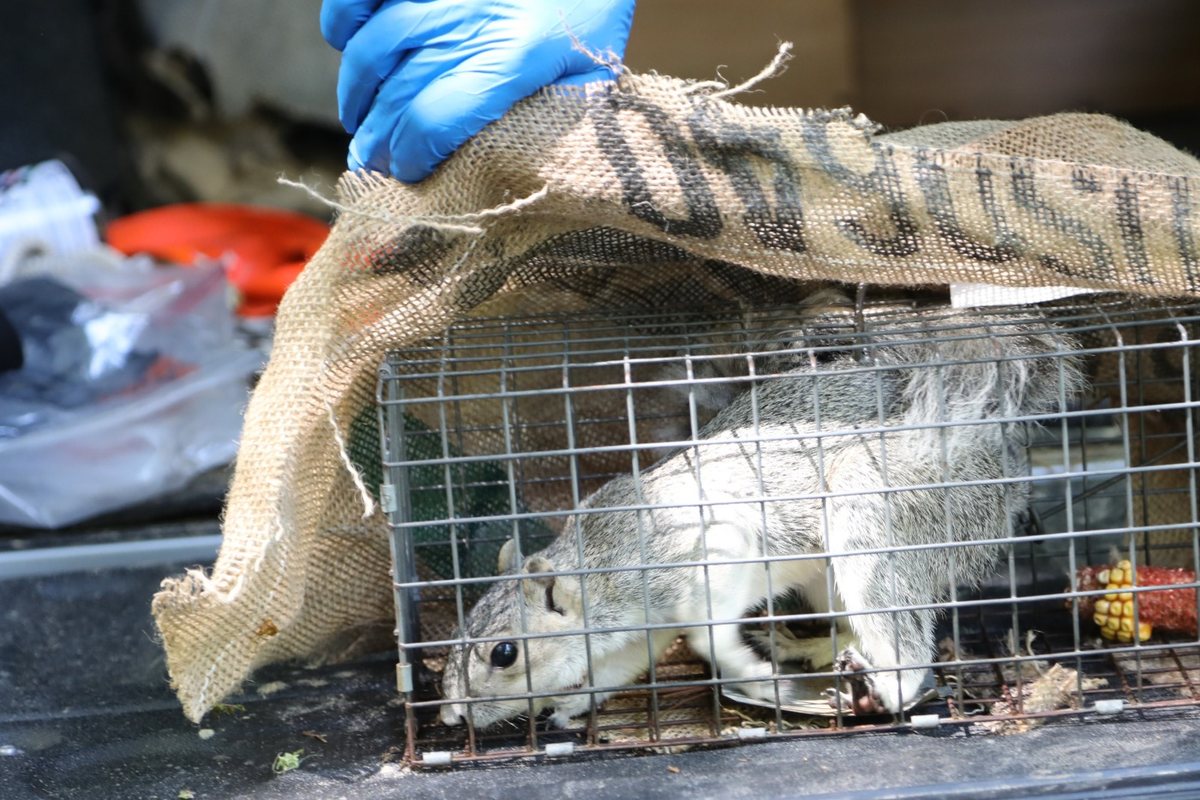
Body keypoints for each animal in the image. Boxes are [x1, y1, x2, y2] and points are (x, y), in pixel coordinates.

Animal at [438, 295, 1083, 728]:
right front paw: (574, 699)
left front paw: (747, 671)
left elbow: (706, 634)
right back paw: (811, 651)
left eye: (503, 653)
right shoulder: (641, 630)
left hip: (874, 513)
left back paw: (878, 688)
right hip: (834, 574)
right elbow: (623, 665)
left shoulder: (704, 552)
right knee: (850, 623)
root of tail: (992, 454)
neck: (600, 565)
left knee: (900, 646)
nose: (450, 717)